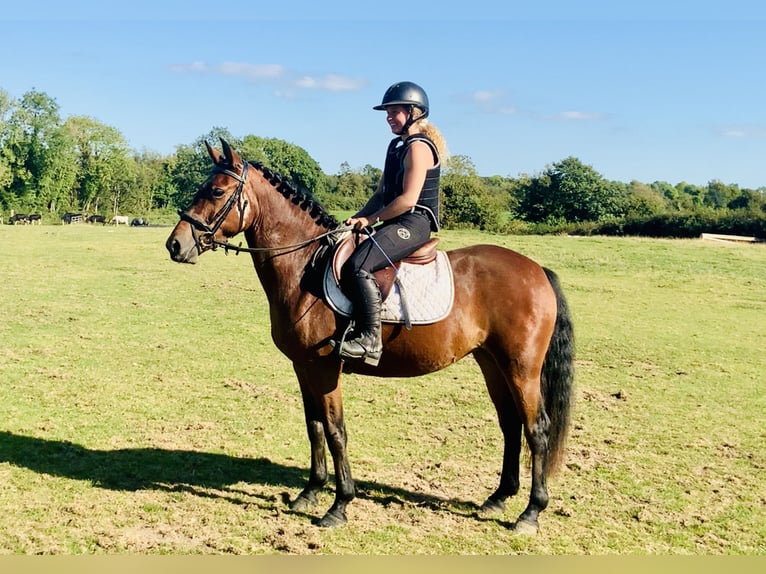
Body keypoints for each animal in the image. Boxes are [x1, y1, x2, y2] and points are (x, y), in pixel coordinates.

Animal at [166, 140, 576, 536]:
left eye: (217, 191)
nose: (175, 245)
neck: (305, 267)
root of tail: (536, 270)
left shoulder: (324, 368)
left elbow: (336, 431)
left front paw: (339, 505)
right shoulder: (303, 366)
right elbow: (314, 427)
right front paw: (310, 492)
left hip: (521, 368)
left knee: (537, 428)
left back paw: (530, 513)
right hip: (492, 362)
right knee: (510, 424)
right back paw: (499, 497)